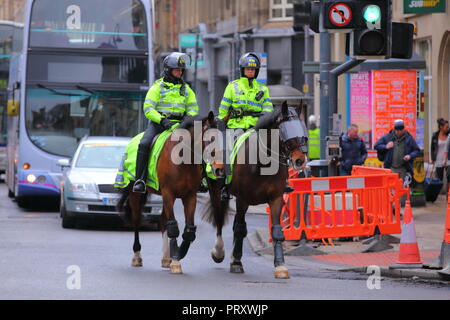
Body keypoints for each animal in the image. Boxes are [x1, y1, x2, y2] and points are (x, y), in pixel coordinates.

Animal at [118, 111, 216, 274]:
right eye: (211, 138)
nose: (219, 167)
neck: (182, 160)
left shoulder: (189, 196)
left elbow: (188, 231)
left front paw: (177, 255)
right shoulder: (169, 193)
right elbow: (174, 228)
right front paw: (176, 260)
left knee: (163, 222)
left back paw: (166, 258)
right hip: (136, 195)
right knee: (137, 221)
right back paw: (137, 257)